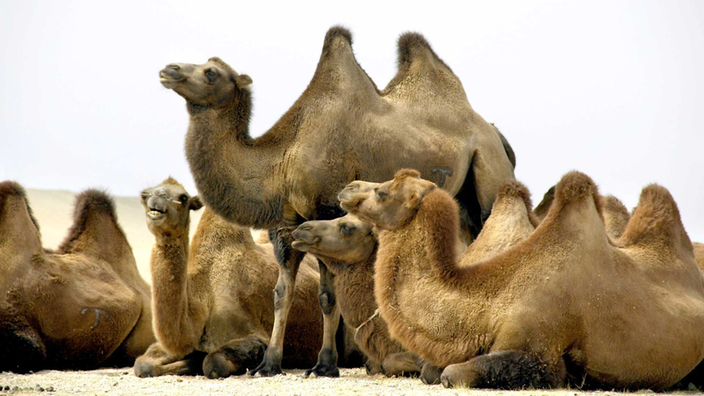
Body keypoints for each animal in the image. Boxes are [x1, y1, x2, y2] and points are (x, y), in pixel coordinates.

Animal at [133, 178, 358, 378]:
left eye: (183, 198)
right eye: (145, 195)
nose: (157, 199)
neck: (204, 296)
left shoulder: (251, 332)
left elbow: (213, 362)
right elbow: (143, 364)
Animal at [157, 25, 516, 378]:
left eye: (212, 73)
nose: (169, 69)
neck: (282, 159)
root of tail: (495, 134)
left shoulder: (326, 210)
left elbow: (328, 297)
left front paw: (325, 364)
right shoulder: (286, 225)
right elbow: (280, 294)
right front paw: (268, 364)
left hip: (487, 173)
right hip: (462, 197)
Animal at [340, 169, 704, 390]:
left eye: (384, 193)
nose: (348, 188)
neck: (491, 304)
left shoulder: (543, 350)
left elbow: (450, 373)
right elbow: (432, 369)